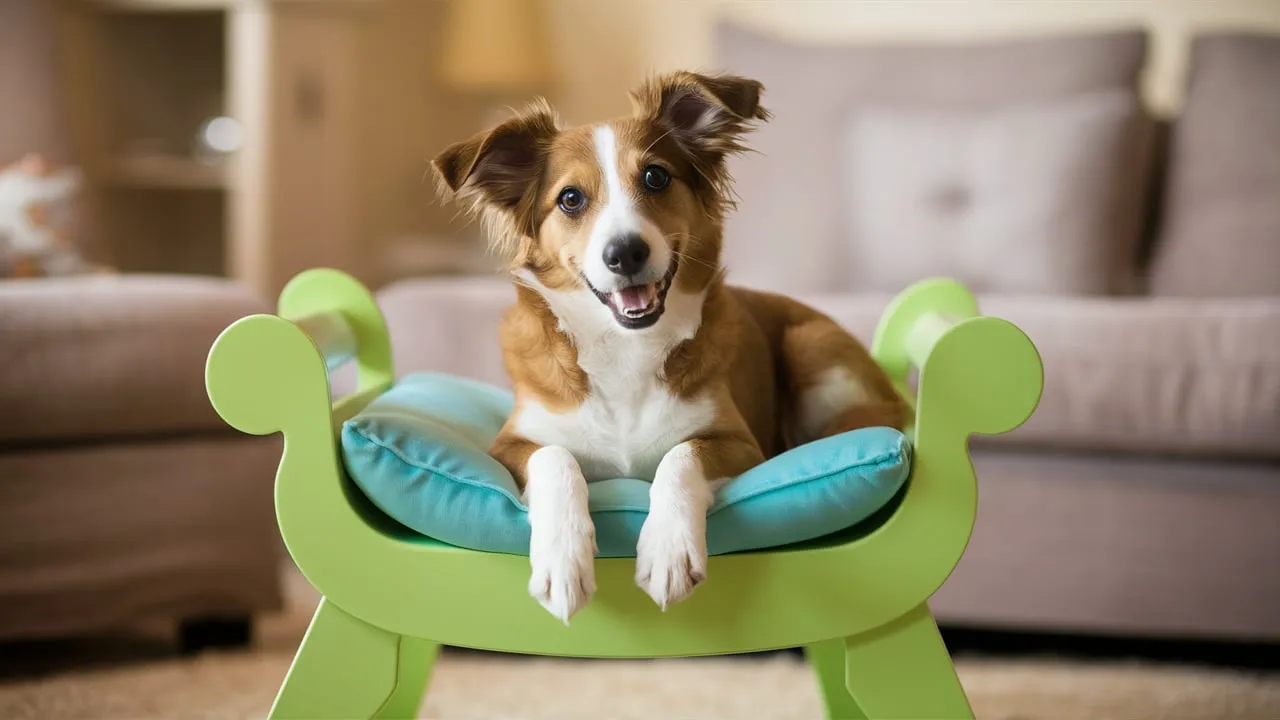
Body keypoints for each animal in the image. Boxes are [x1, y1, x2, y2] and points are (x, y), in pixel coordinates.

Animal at [432, 73, 911, 622]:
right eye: (570, 198)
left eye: (656, 177)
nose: (625, 253)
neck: (626, 346)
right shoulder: (508, 445)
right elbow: (555, 457)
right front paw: (562, 560)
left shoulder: (742, 445)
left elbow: (680, 454)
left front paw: (668, 551)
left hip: (813, 347)